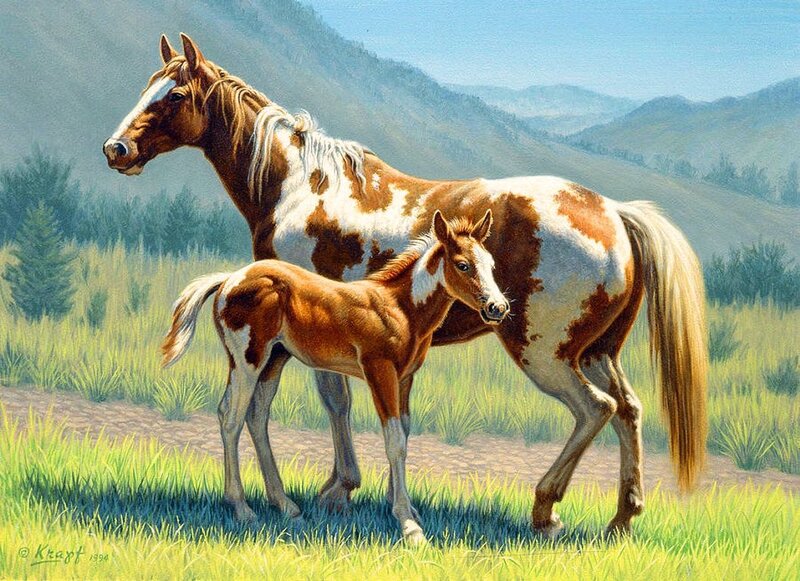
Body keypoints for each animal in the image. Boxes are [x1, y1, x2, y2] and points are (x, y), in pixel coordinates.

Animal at [161, 210, 508, 543]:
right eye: (463, 265)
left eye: (492, 265)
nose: (498, 307)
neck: (400, 308)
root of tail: (231, 279)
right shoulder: (379, 371)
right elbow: (394, 441)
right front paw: (408, 526)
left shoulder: (405, 378)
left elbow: (405, 433)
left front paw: (409, 510)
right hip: (247, 361)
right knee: (230, 418)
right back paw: (243, 509)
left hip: (274, 360)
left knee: (256, 416)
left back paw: (286, 506)